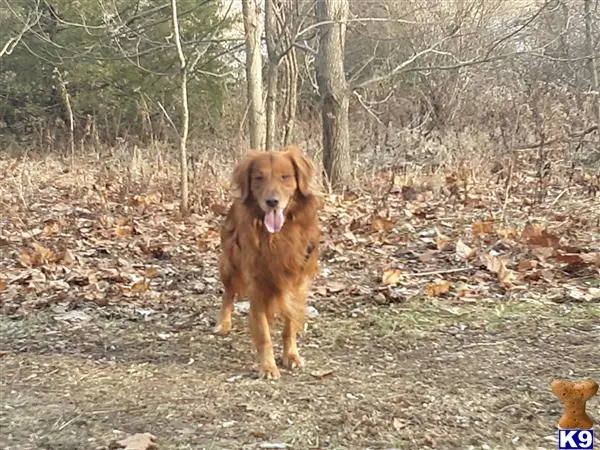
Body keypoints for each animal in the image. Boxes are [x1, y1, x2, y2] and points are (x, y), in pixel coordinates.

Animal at [214, 146, 322, 378]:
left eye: (285, 177)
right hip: (229, 264)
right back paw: (223, 323)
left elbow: (289, 325)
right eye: (258, 178)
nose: (272, 202)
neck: (278, 236)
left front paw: (291, 356)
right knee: (228, 293)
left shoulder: (297, 281)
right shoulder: (257, 285)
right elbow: (263, 333)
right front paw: (267, 366)